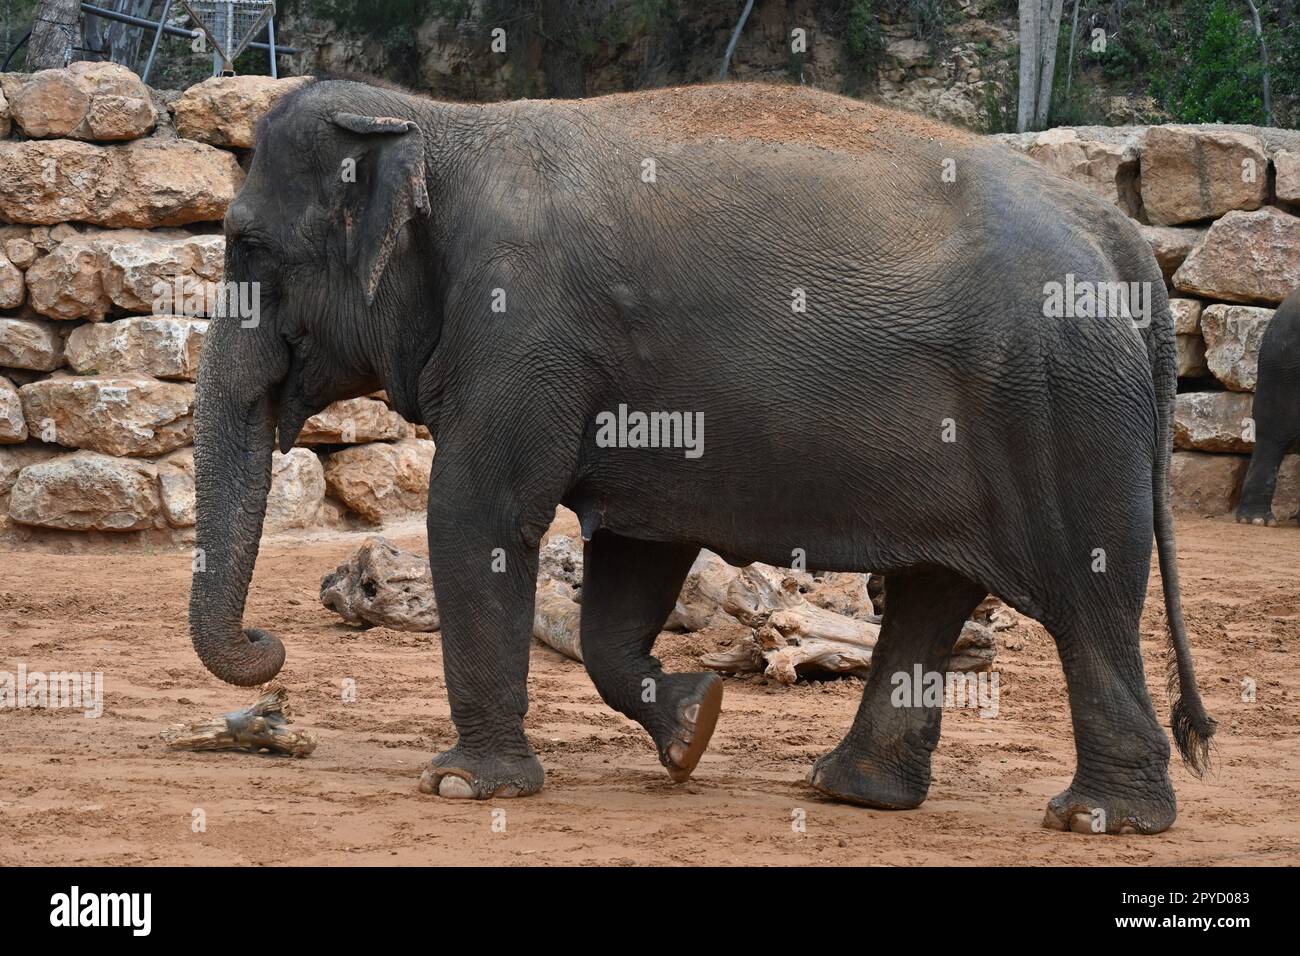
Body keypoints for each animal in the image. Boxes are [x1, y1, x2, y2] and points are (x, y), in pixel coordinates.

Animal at [188, 78, 1216, 834]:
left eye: (245, 244)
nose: (270, 646)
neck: (441, 122)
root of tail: (1126, 246)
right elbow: (631, 562)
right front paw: (692, 728)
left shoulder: (521, 333)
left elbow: (480, 518)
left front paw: (463, 787)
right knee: (935, 592)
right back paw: (851, 791)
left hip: (1060, 405)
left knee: (1088, 598)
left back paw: (1097, 819)